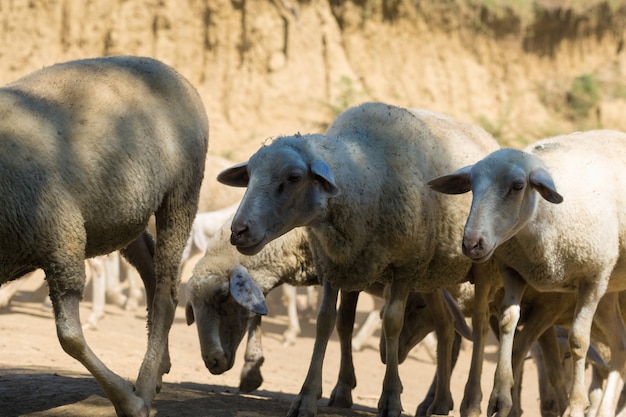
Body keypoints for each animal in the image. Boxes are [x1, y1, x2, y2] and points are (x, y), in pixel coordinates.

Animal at [0, 55, 210, 416]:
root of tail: (171, 70)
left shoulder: (61, 238)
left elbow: (70, 337)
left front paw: (129, 402)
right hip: (125, 215)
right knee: (152, 274)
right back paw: (159, 368)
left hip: (181, 193)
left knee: (166, 296)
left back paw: (145, 385)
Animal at [217, 101, 500, 416]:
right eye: (250, 174)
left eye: (294, 177)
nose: (239, 231)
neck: (364, 172)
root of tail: (486, 135)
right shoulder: (339, 265)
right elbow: (330, 322)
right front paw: (316, 395)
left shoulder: (404, 267)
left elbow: (391, 322)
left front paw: (390, 398)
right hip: (432, 276)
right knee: (446, 326)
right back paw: (438, 403)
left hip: (483, 266)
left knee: (480, 327)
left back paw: (471, 402)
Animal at [426, 130, 626, 416]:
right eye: (472, 186)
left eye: (518, 186)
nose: (472, 243)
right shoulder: (514, 271)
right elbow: (508, 322)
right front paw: (500, 398)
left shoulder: (593, 279)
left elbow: (578, 341)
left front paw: (576, 406)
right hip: (610, 292)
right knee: (620, 345)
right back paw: (607, 410)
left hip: (604, 285)